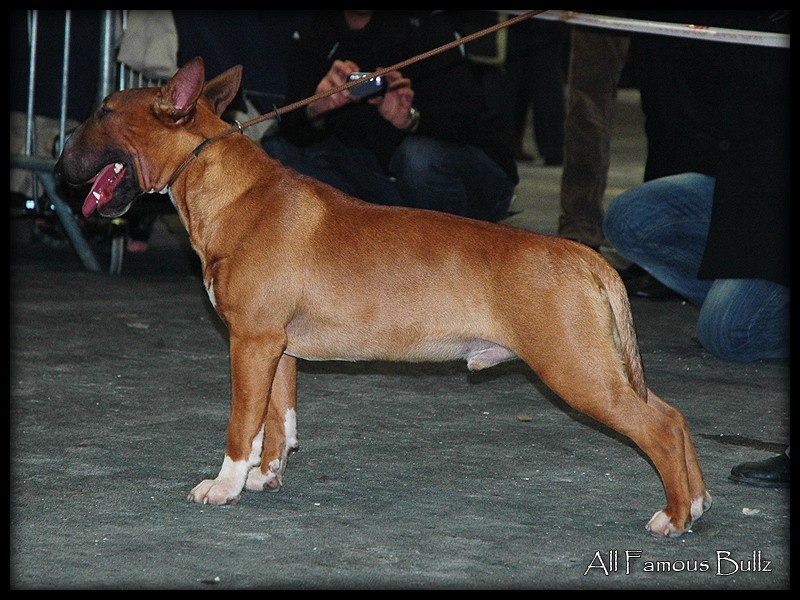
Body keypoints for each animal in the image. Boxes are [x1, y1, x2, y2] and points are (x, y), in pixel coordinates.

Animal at [56, 56, 708, 536]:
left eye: (105, 111)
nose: (60, 163)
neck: (227, 190)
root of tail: (583, 255)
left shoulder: (251, 343)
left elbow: (243, 424)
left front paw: (224, 486)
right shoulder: (275, 349)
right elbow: (278, 421)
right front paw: (265, 479)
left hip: (576, 368)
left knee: (657, 426)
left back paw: (672, 518)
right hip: (597, 364)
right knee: (673, 415)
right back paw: (698, 505)